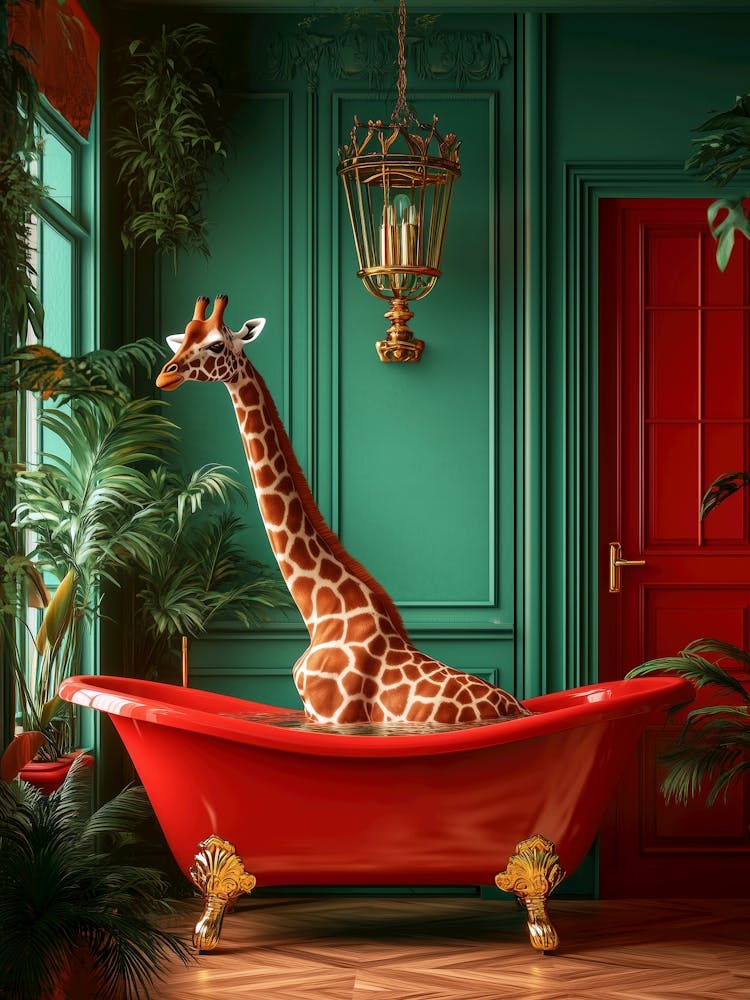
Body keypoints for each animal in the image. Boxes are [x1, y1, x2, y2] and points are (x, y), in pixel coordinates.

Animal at [156, 295, 529, 725]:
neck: (320, 612)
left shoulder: (334, 713)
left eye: (217, 344)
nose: (165, 375)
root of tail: (518, 706)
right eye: (184, 338)